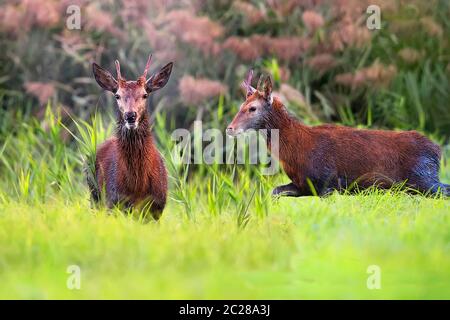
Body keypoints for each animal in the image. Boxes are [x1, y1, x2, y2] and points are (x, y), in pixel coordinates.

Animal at [88, 55, 174, 220]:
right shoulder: (114, 201)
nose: (130, 115)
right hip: (94, 194)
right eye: (117, 95)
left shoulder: (157, 207)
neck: (137, 186)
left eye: (145, 94)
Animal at [227, 70, 448, 198]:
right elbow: (274, 192)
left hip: (423, 177)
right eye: (240, 106)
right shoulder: (304, 185)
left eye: (252, 108)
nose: (230, 128)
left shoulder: (329, 181)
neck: (296, 149)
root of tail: (437, 150)